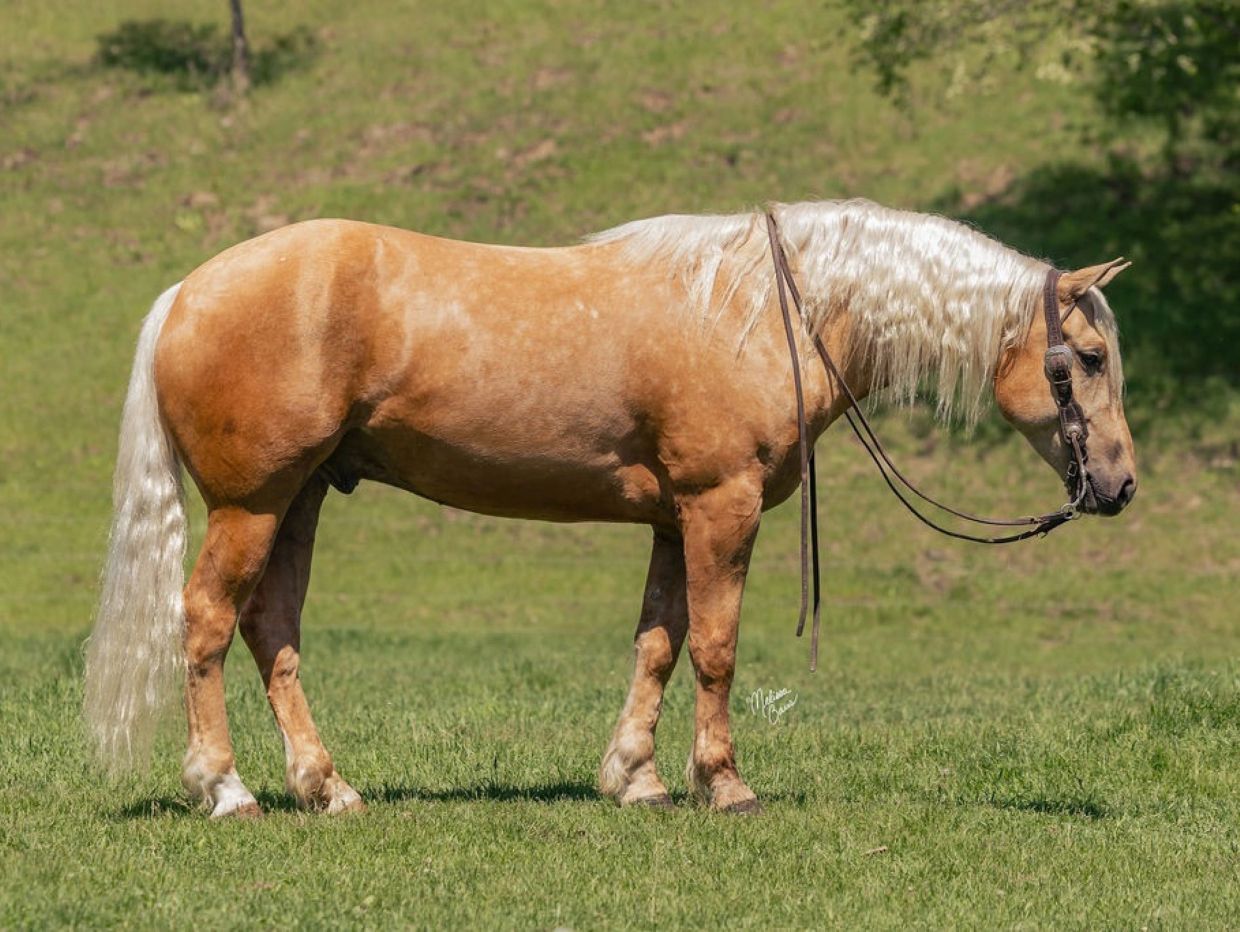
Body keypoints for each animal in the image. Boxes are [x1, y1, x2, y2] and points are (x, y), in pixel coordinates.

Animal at [84, 198, 1137, 817]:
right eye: (1086, 358)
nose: (1120, 486)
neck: (760, 312)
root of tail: (189, 291)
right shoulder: (722, 509)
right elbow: (714, 648)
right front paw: (725, 784)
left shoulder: (677, 521)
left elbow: (658, 645)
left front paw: (638, 778)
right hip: (252, 504)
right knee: (207, 620)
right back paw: (225, 788)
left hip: (297, 499)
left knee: (272, 629)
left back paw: (326, 785)